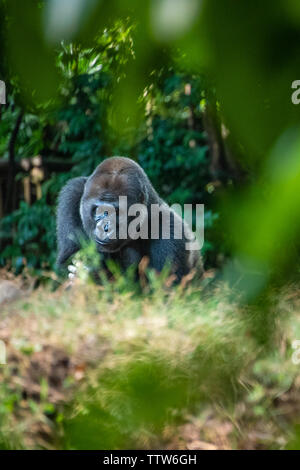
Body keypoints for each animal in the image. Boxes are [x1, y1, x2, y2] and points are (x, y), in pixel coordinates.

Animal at [56, 158, 203, 280]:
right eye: (99, 210)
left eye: (116, 212)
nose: (105, 228)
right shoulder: (73, 192)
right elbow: (66, 261)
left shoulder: (171, 230)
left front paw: (93, 274)